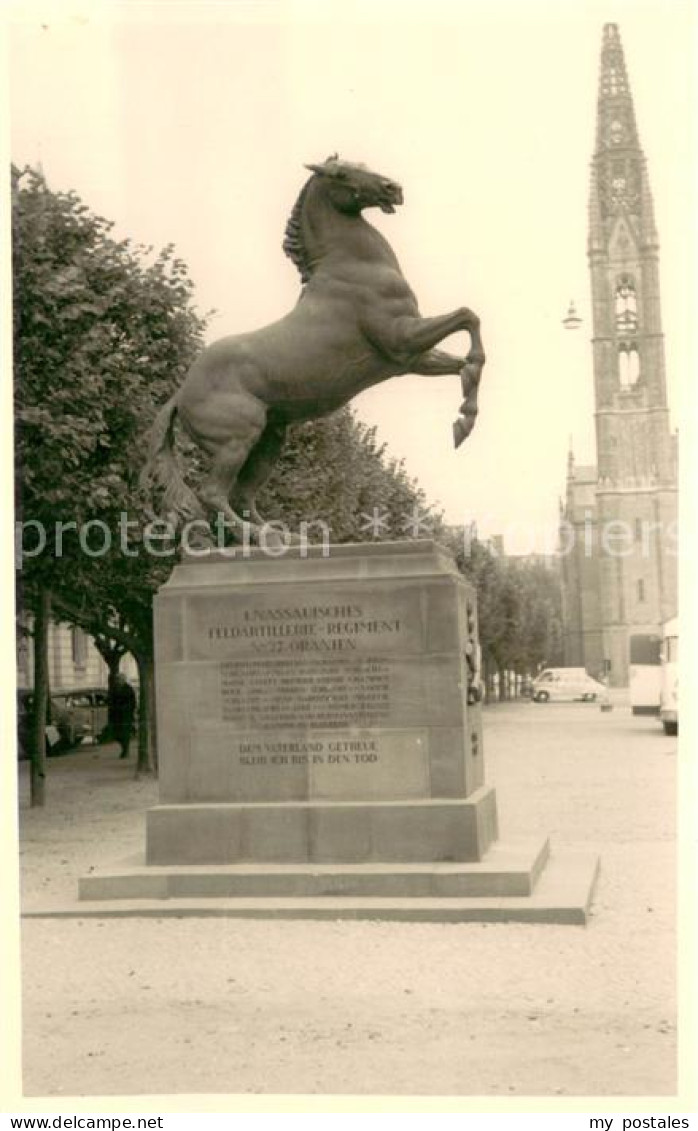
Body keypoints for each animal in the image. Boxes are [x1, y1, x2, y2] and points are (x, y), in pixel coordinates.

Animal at [143, 154, 484, 538]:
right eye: (342, 174)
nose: (392, 188)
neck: (352, 264)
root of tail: (180, 395)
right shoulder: (401, 339)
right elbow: (468, 317)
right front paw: (464, 419)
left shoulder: (410, 359)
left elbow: (460, 361)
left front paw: (464, 419)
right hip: (237, 440)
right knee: (213, 494)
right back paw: (260, 538)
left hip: (270, 441)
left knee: (242, 495)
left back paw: (286, 536)